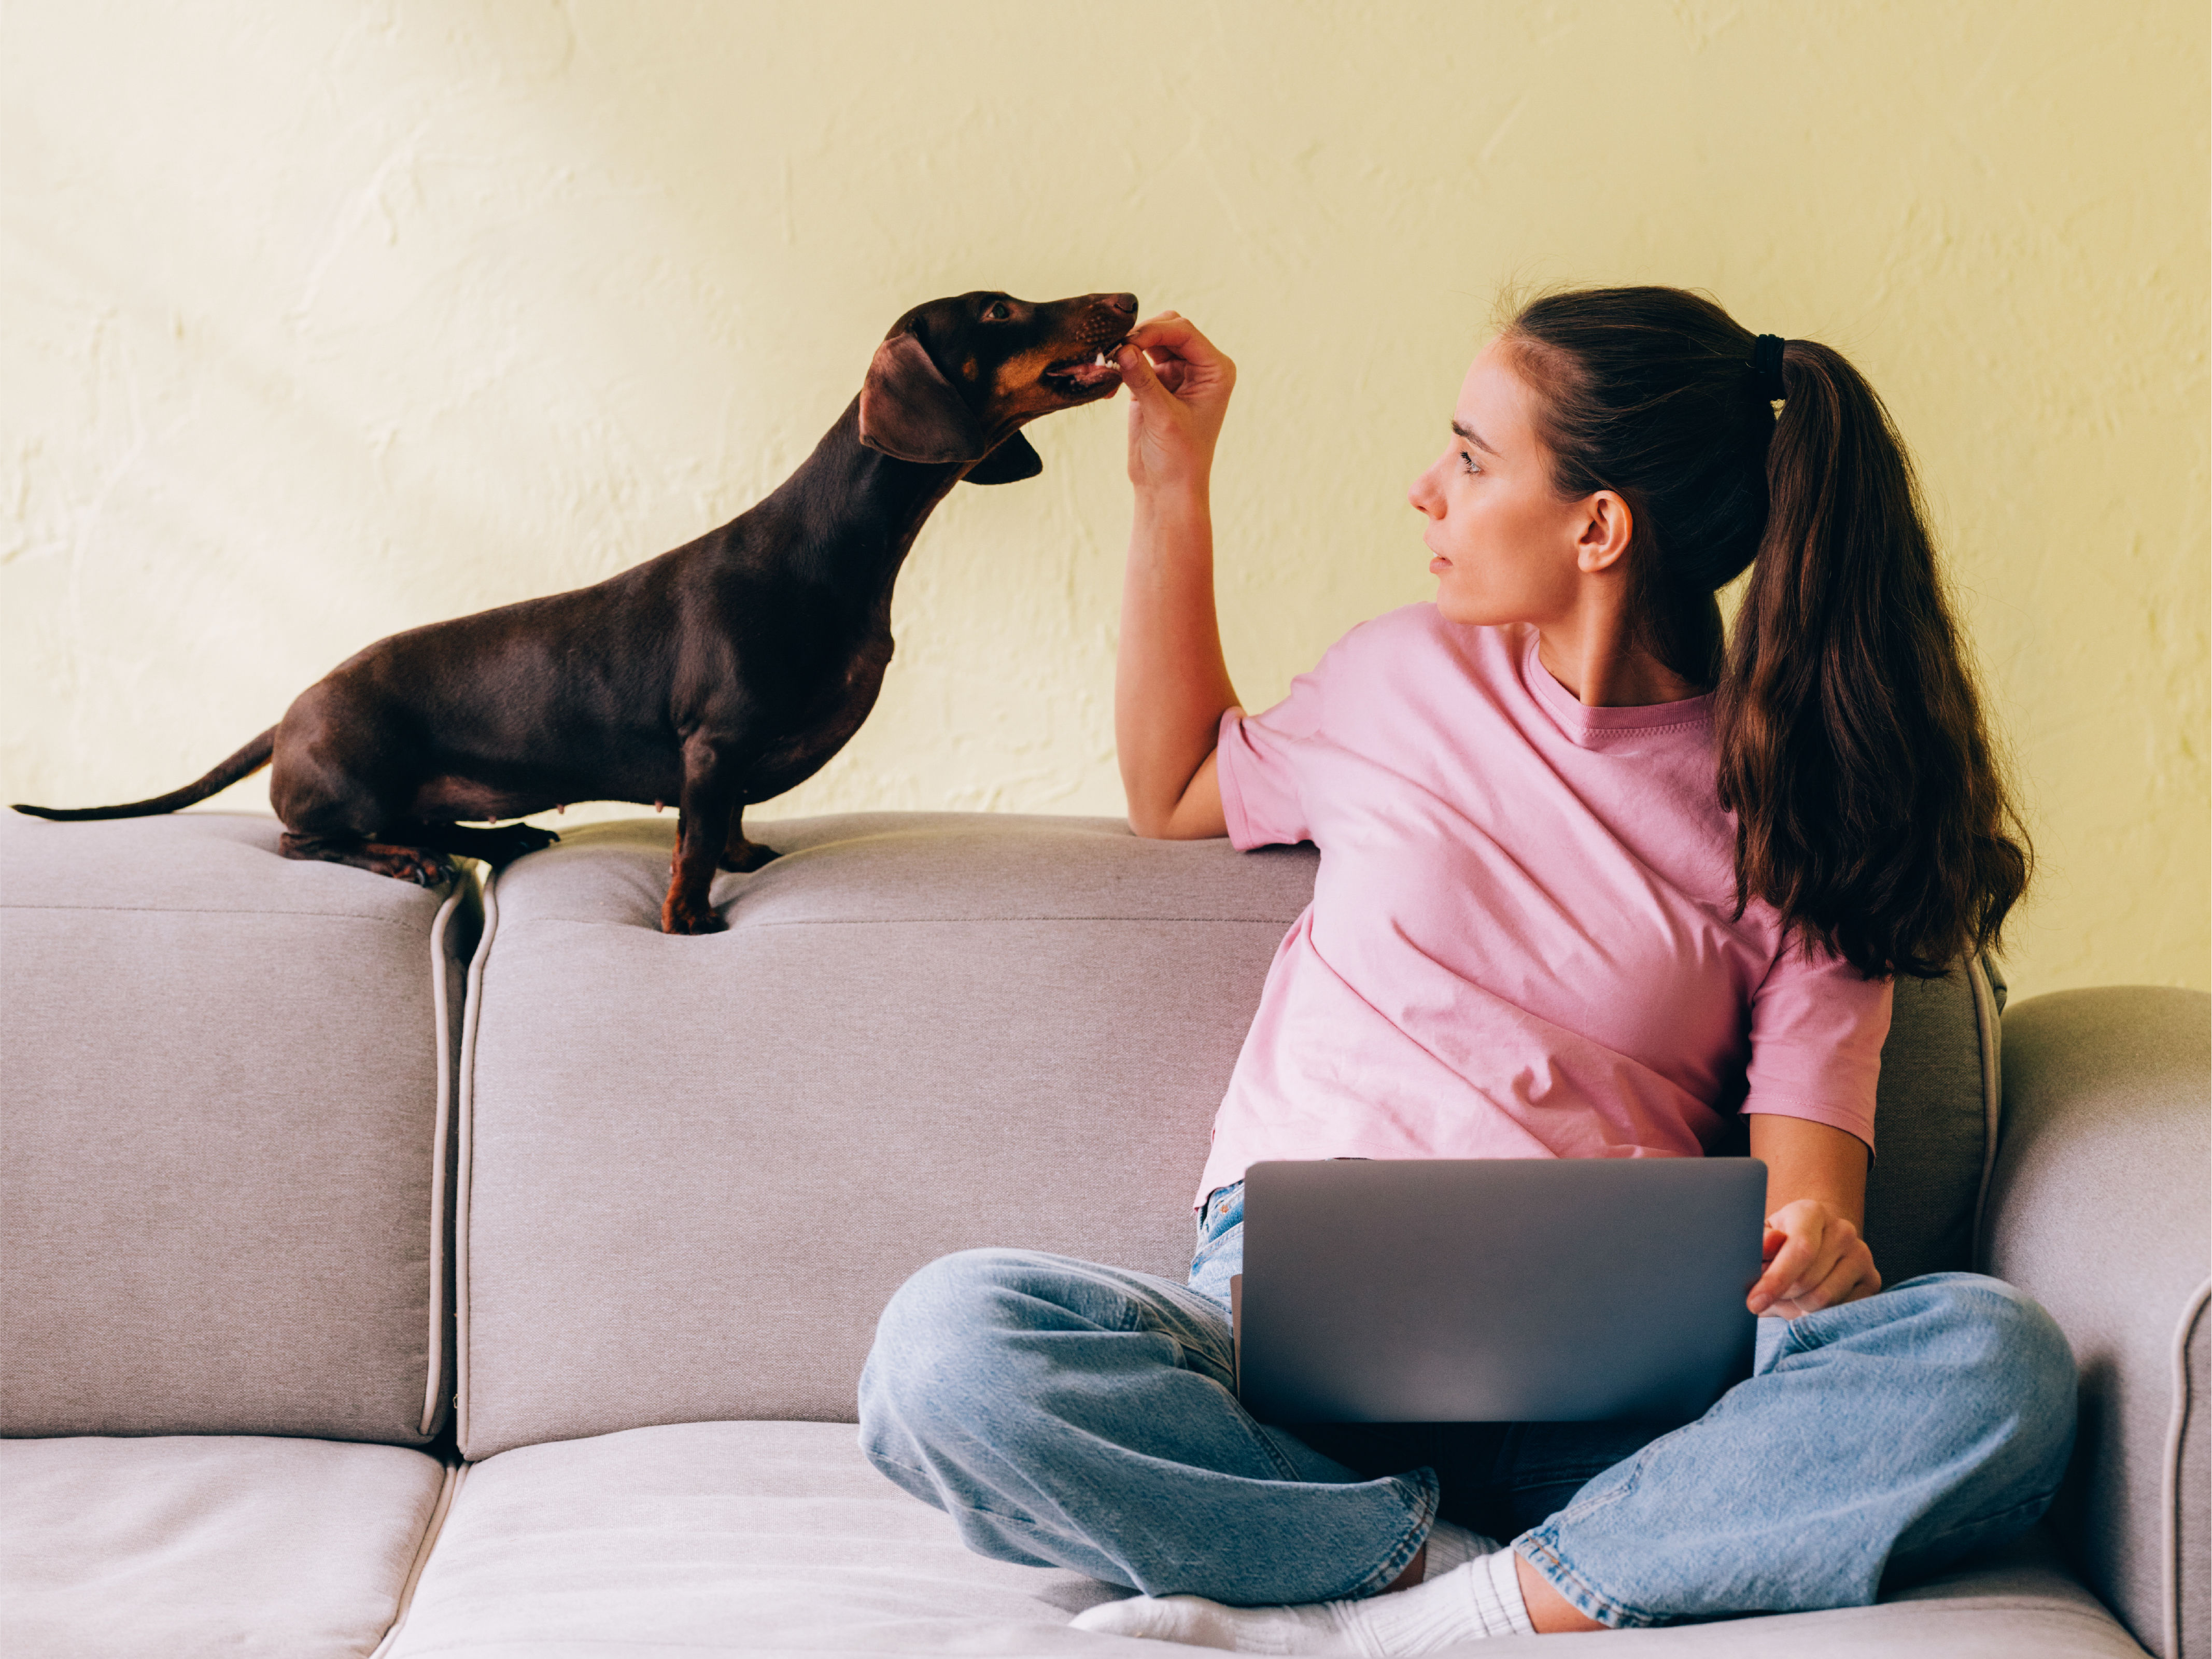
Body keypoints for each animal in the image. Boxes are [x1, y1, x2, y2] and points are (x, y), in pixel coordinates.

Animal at [21, 287, 1141, 938]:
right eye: (996, 311)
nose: (1125, 298)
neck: (833, 551)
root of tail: (291, 712)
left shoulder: (723, 763)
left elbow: (726, 825)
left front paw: (744, 856)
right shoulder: (713, 743)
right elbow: (693, 842)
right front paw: (691, 918)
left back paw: (503, 837)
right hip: (349, 786)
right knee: (313, 842)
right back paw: (406, 857)